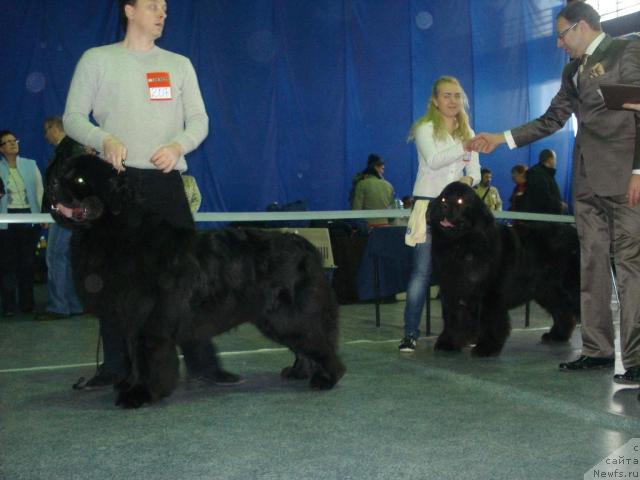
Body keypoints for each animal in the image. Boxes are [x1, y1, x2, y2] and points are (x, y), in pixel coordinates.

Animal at [45, 155, 344, 408]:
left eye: (79, 179)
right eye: (62, 171)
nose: (52, 183)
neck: (117, 233)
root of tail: (304, 244)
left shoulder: (146, 320)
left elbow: (145, 358)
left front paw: (139, 394)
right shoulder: (129, 319)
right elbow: (132, 355)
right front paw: (128, 385)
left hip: (289, 314)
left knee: (317, 342)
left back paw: (326, 378)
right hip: (274, 317)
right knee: (304, 344)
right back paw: (298, 371)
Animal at [430, 182, 580, 358]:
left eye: (460, 200)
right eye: (443, 198)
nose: (443, 206)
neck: (461, 245)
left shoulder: (491, 294)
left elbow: (490, 321)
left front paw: (486, 347)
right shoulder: (454, 289)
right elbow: (454, 318)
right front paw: (448, 343)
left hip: (570, 285)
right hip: (549, 290)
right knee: (562, 310)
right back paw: (557, 335)